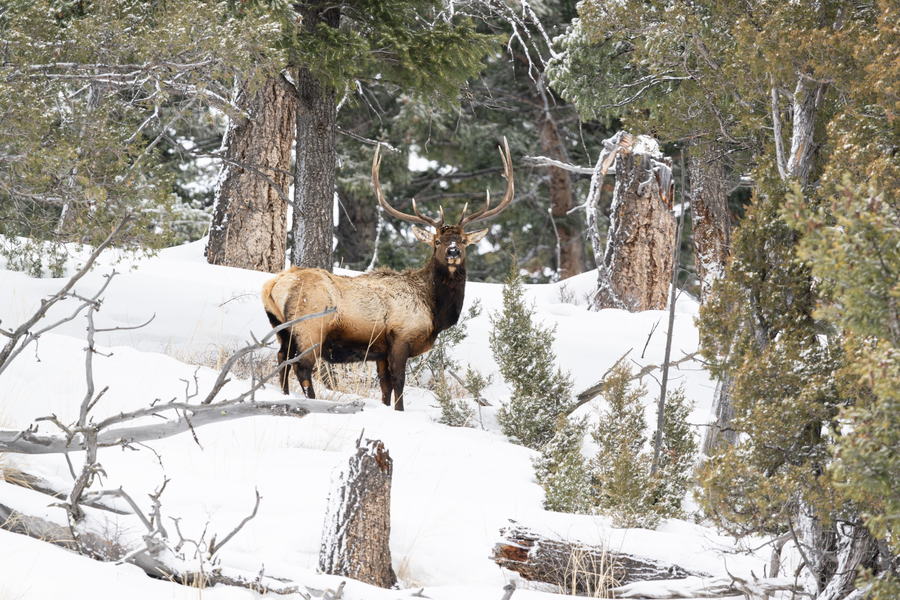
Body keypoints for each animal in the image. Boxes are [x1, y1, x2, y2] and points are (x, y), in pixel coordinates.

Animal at [261, 139, 514, 410]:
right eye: (437, 241)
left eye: (464, 240)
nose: (453, 251)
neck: (434, 309)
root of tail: (272, 286)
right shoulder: (400, 337)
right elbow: (399, 383)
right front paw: (400, 411)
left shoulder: (380, 350)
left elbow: (385, 387)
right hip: (309, 327)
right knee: (303, 368)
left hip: (282, 329)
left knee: (282, 359)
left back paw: (284, 395)